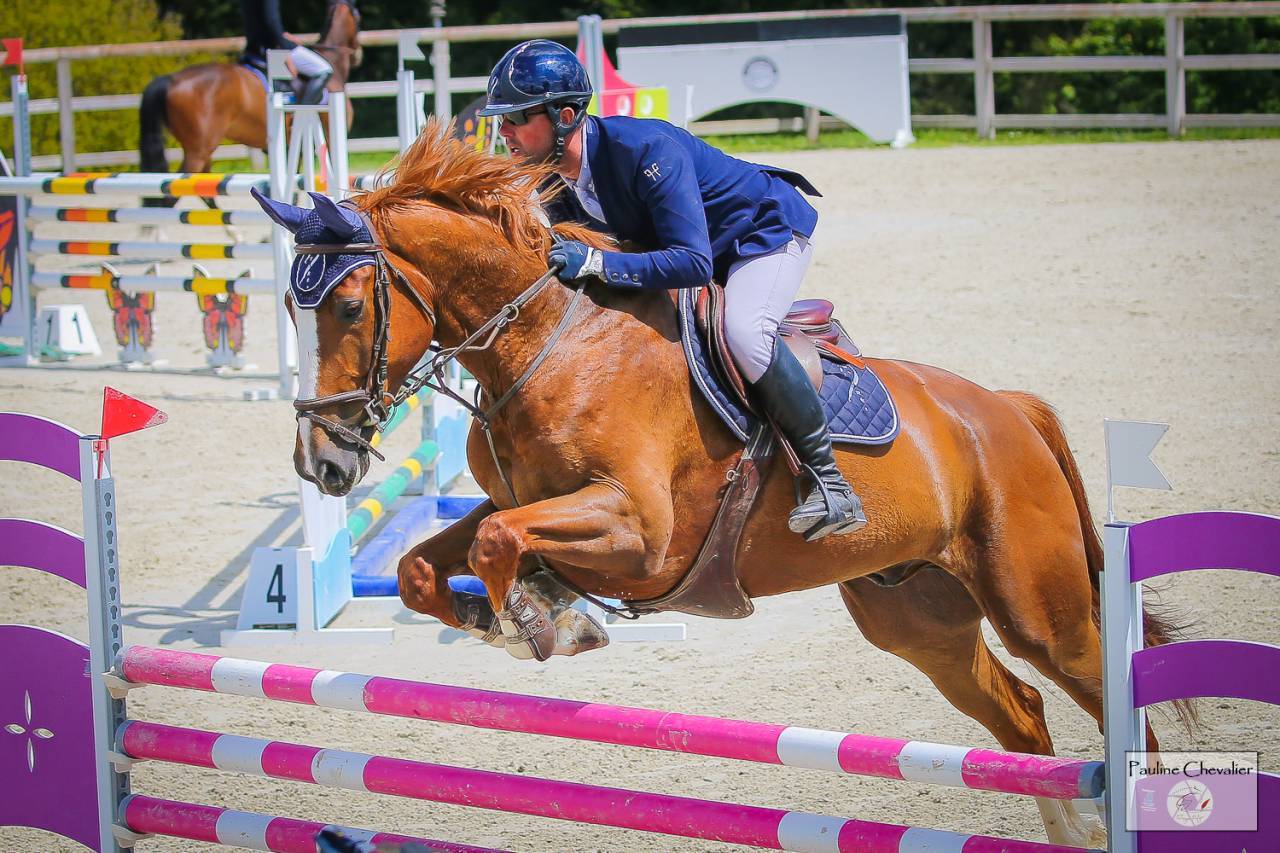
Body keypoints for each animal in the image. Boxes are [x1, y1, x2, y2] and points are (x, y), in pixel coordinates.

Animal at [252, 123, 1188, 848]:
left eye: (347, 308)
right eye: (294, 310)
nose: (320, 464)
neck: (548, 339)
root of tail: (1008, 410)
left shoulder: (640, 533)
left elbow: (495, 543)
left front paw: (542, 621)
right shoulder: (520, 500)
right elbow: (428, 562)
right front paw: (513, 616)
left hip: (1039, 606)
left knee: (1110, 701)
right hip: (917, 617)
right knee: (1020, 712)